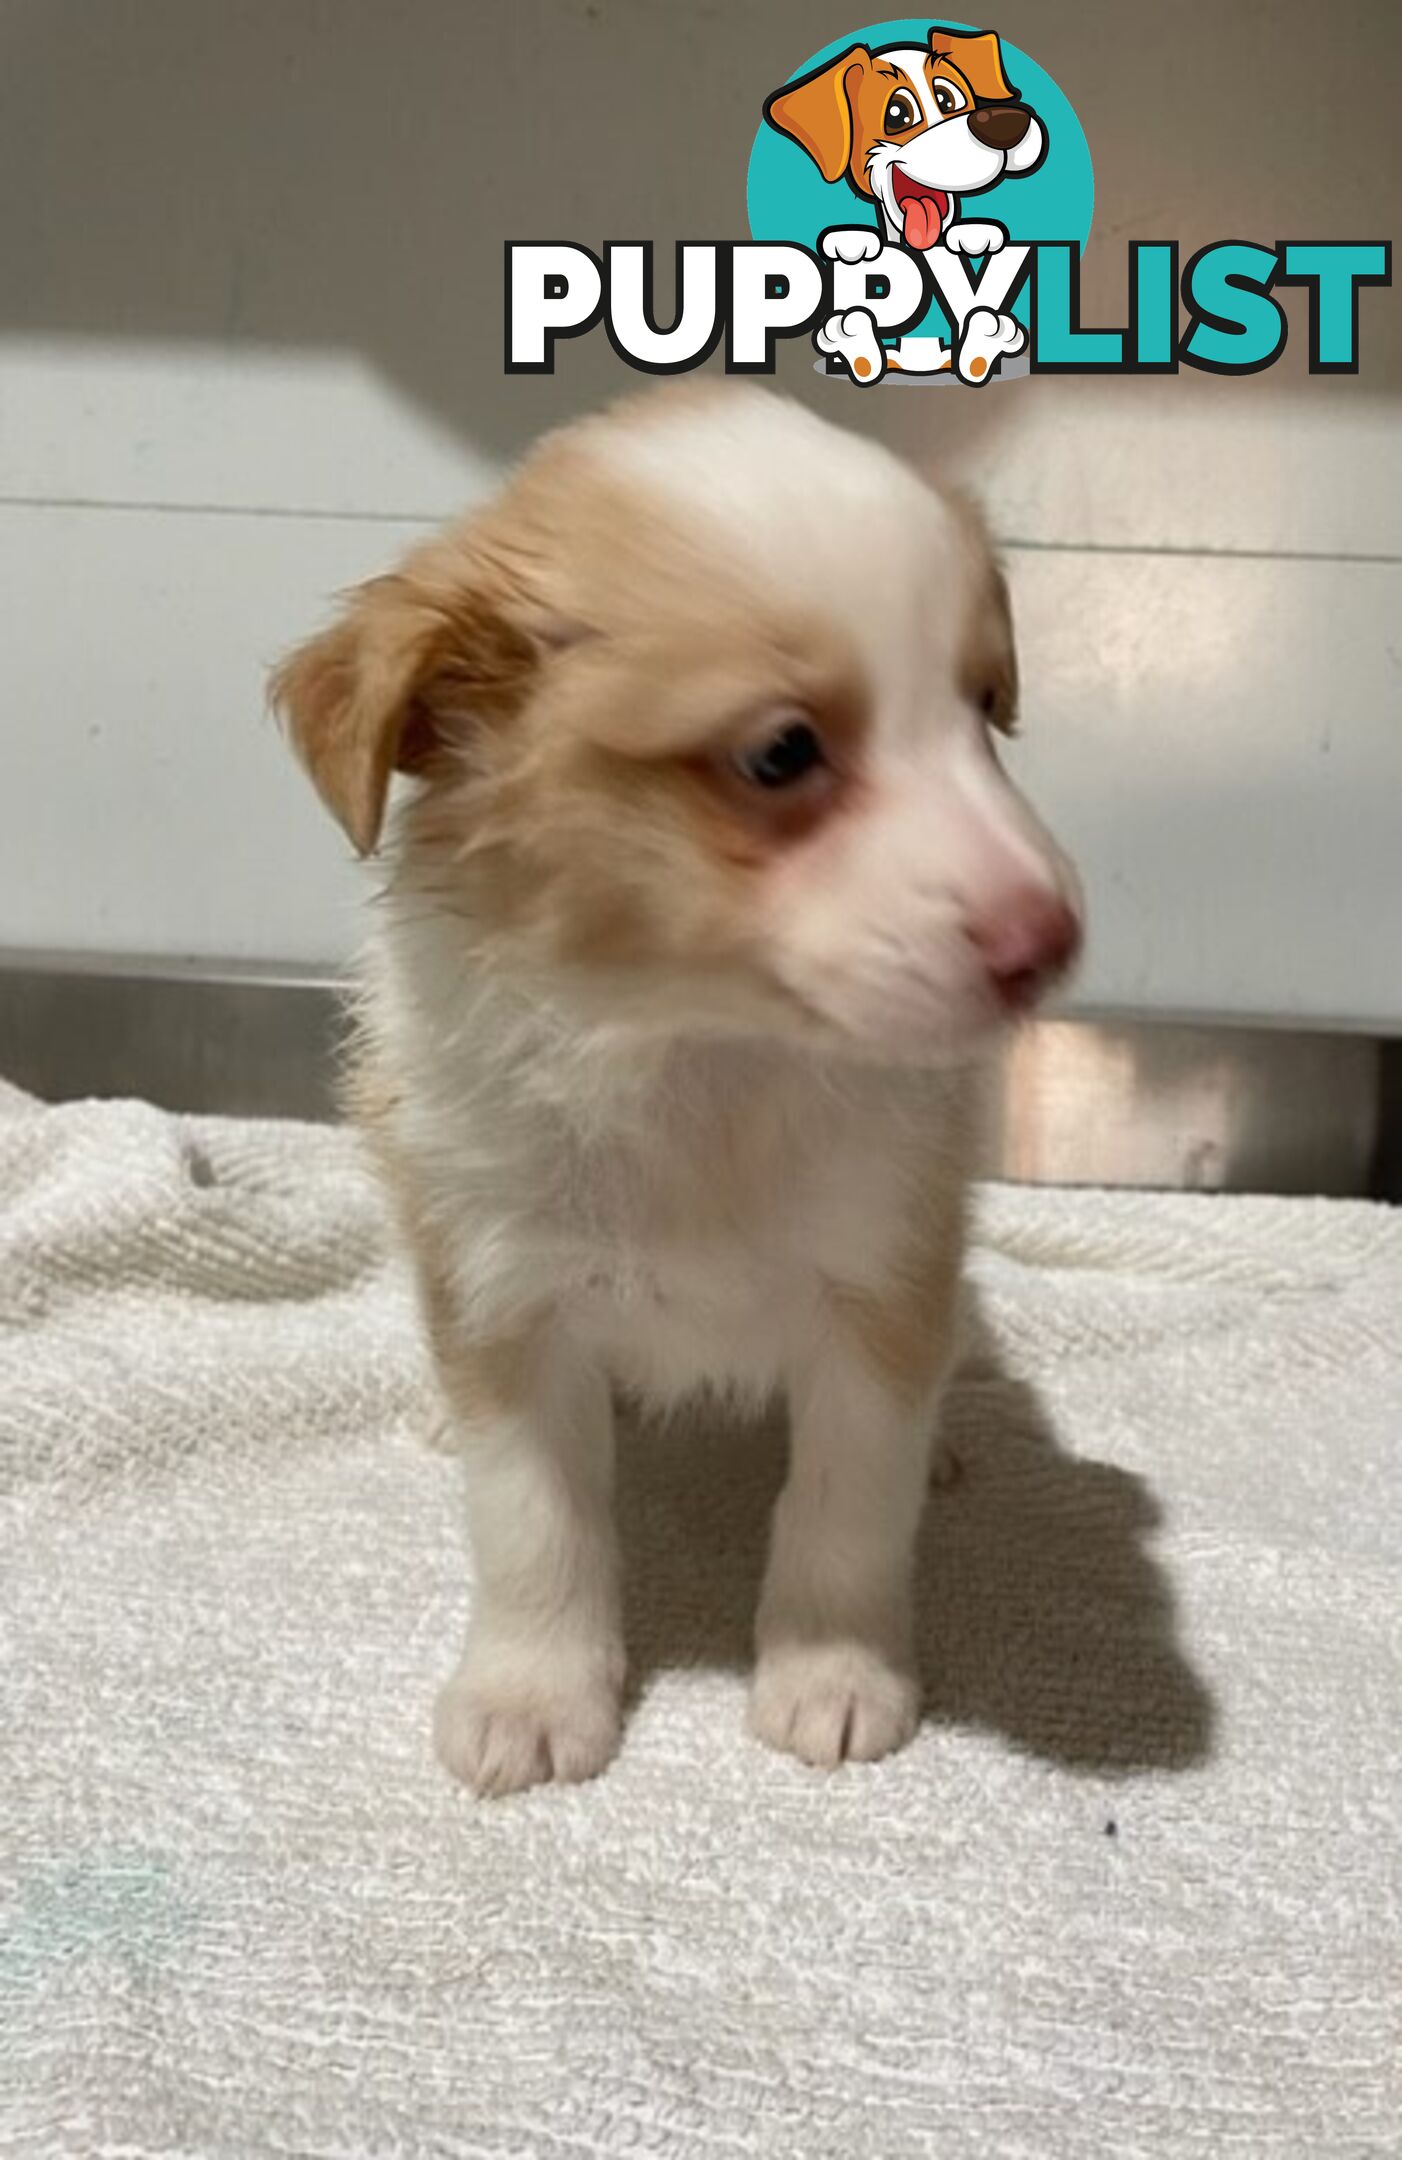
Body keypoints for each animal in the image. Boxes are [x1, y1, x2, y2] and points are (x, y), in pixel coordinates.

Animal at [276, 393, 1084, 1805]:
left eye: (982, 709)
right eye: (781, 752)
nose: (1052, 942)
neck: (698, 1056)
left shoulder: (880, 1274)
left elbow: (846, 1506)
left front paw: (833, 1672)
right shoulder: (505, 1293)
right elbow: (534, 1522)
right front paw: (532, 1692)